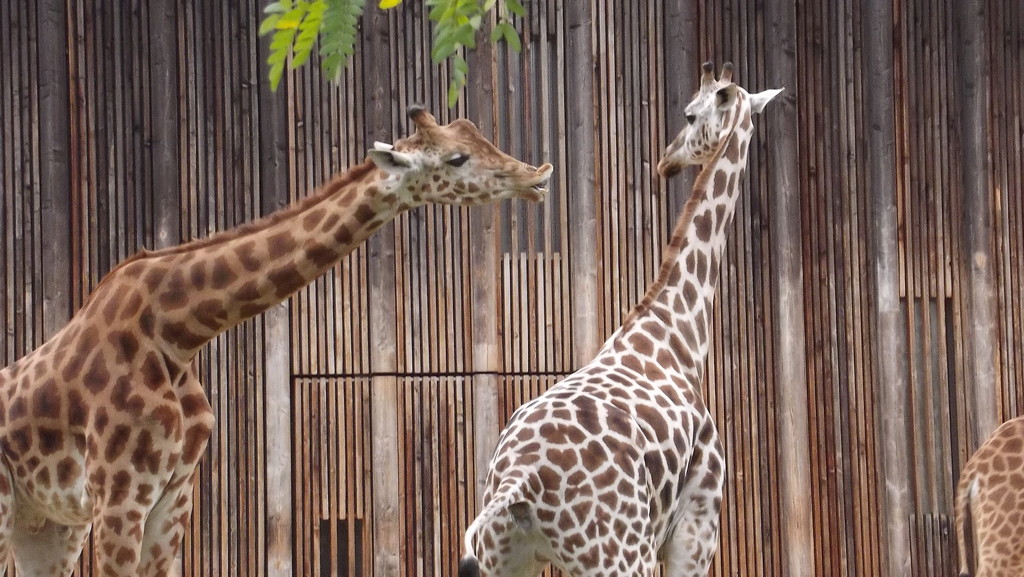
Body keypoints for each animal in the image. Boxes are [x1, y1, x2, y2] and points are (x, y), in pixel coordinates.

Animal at [0, 106, 552, 577]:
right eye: (456, 157)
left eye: (478, 136)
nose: (538, 175)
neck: (178, 332)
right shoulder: (119, 496)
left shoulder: (172, 498)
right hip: (13, 507)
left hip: (51, 527)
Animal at [459, 62, 782, 577]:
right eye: (689, 113)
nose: (666, 161)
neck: (678, 333)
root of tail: (520, 476)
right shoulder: (699, 520)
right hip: (621, 553)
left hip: (504, 554)